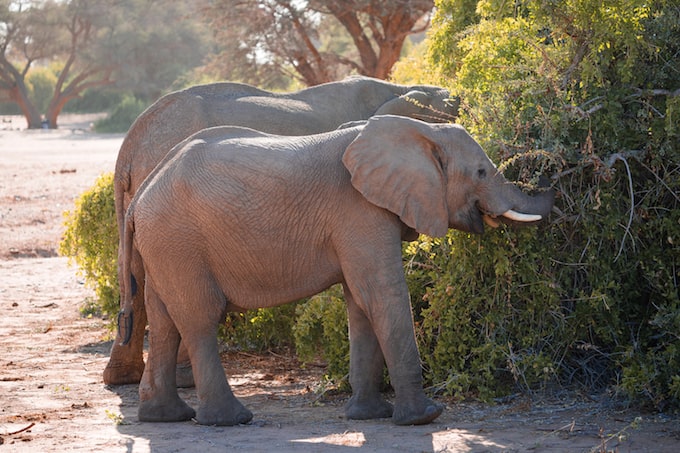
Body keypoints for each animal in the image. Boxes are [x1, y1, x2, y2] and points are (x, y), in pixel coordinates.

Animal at [119, 115, 556, 426]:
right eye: (481, 172)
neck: (420, 131)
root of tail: (140, 193)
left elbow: (360, 305)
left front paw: (369, 416)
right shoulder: (360, 211)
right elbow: (381, 294)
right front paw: (424, 417)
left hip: (164, 245)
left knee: (164, 322)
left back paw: (165, 417)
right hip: (179, 241)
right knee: (200, 320)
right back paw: (230, 420)